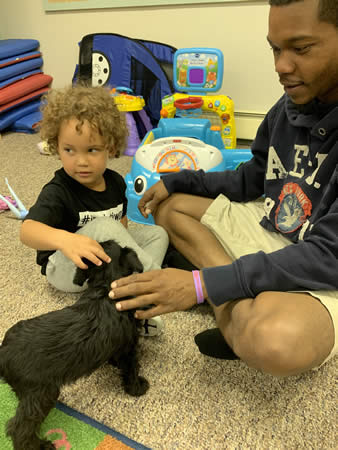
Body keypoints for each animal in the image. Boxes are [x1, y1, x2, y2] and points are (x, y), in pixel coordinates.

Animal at [0, 241, 148, 448]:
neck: (106, 286)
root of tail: (3, 352)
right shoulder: (129, 347)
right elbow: (131, 369)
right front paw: (138, 388)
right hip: (42, 393)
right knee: (19, 428)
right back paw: (41, 445)